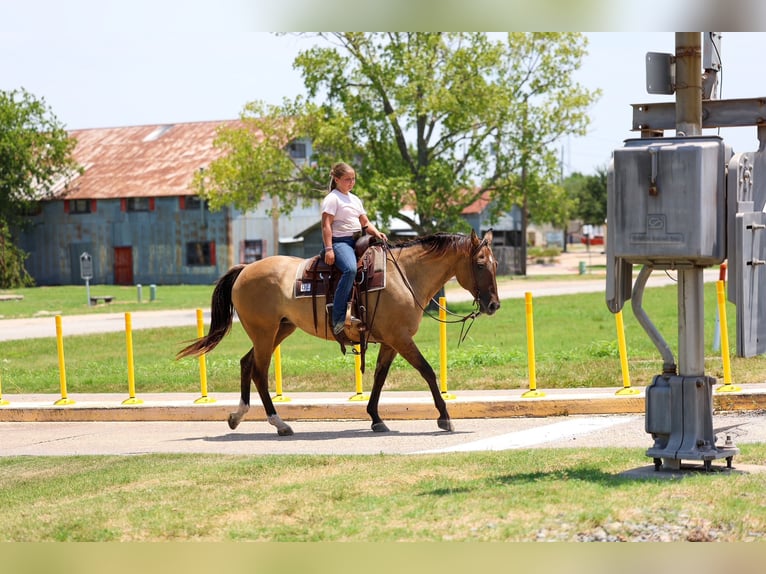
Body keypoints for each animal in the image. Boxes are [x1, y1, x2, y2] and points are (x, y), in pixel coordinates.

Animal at [176, 229, 500, 436]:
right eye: (480, 264)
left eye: (495, 263)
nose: (494, 305)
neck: (405, 276)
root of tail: (245, 269)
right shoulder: (401, 338)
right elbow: (428, 372)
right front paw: (445, 418)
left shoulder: (391, 341)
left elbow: (379, 377)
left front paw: (375, 418)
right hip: (265, 333)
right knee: (259, 371)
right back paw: (279, 424)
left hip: (279, 330)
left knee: (246, 364)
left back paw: (238, 416)